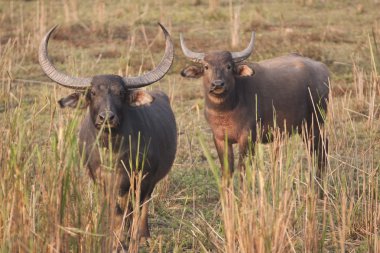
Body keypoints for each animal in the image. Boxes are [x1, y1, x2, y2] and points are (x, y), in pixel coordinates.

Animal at [180, 31, 328, 186]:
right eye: (206, 66)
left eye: (229, 66)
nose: (218, 84)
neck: (225, 111)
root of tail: (322, 68)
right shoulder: (219, 138)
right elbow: (227, 171)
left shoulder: (247, 137)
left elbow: (243, 169)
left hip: (315, 125)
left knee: (320, 153)